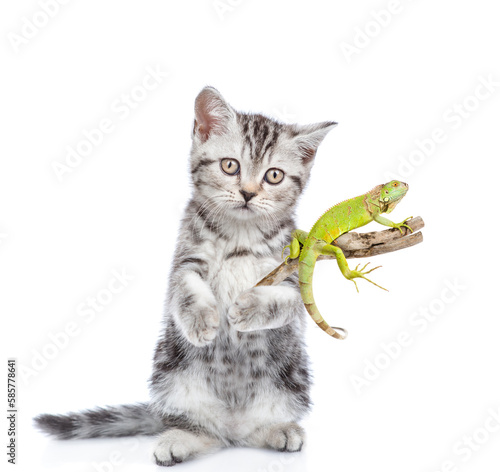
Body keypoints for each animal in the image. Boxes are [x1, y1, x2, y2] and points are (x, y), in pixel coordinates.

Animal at [35, 86, 338, 466]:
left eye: (274, 175)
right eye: (230, 165)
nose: (248, 193)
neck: (240, 235)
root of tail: (232, 423)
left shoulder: (292, 273)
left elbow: (288, 300)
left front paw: (248, 308)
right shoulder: (184, 260)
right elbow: (186, 288)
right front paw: (201, 319)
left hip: (292, 378)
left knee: (253, 429)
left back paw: (279, 430)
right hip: (171, 371)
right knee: (203, 430)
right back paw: (180, 439)